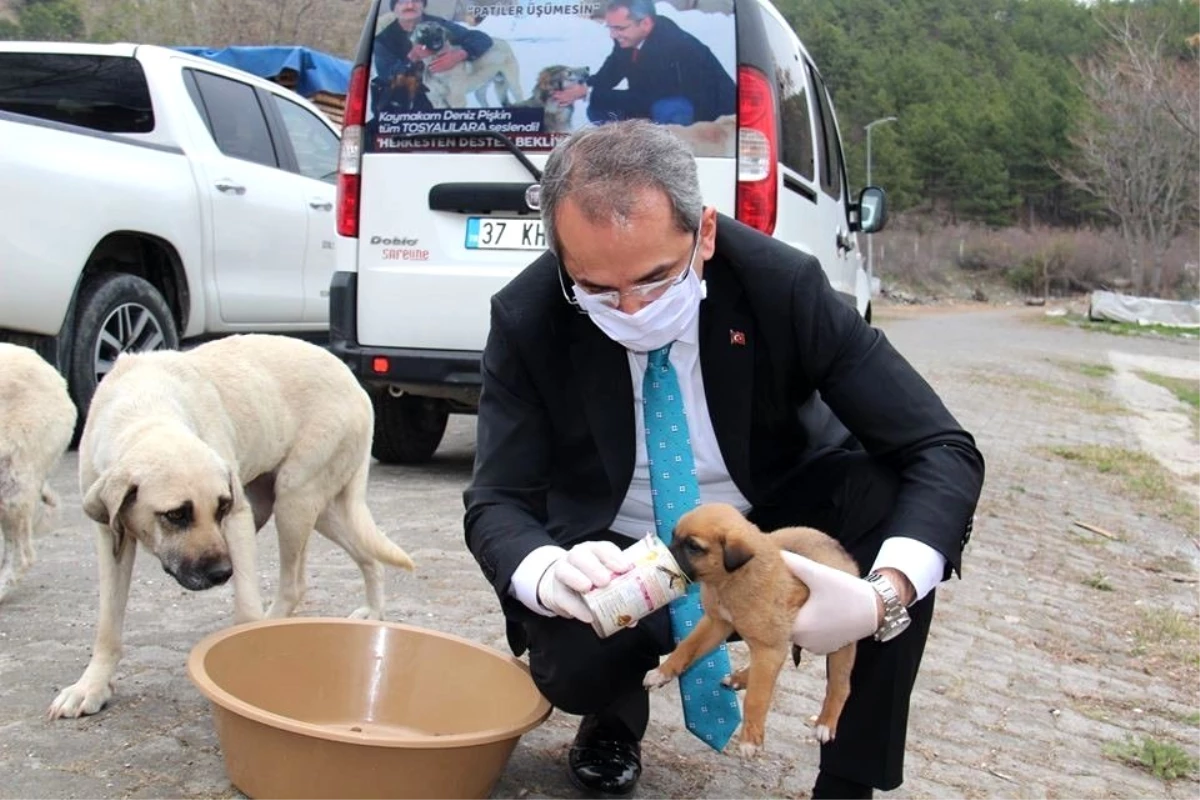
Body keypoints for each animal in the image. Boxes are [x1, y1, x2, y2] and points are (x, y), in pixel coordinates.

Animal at [48, 335, 417, 724]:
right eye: (176, 515)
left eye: (221, 507)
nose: (221, 573)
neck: (144, 410)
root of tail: (354, 382)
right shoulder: (111, 537)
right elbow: (107, 625)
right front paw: (91, 687)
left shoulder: (238, 518)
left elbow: (246, 608)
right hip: (319, 510)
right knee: (370, 558)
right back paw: (373, 612)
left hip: (295, 498)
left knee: (294, 585)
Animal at [643, 503, 859, 762]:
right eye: (673, 535)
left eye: (693, 546)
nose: (661, 557)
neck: (731, 578)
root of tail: (845, 556)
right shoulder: (717, 624)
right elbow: (687, 647)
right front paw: (662, 672)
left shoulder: (768, 648)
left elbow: (756, 698)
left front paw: (750, 740)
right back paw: (739, 678)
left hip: (840, 645)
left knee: (840, 685)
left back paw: (826, 723)